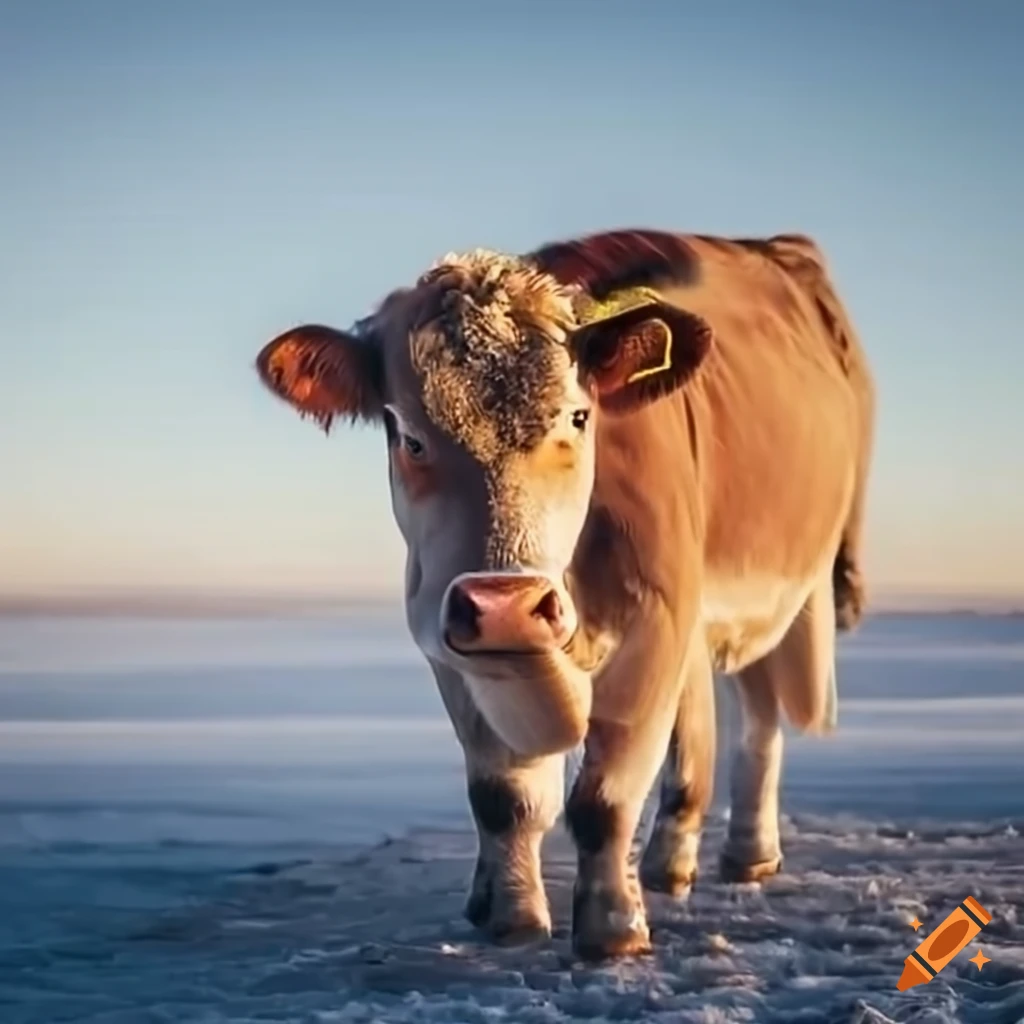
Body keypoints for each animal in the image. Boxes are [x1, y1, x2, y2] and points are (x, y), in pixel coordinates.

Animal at [254, 229, 875, 961]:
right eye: (407, 435)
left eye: (578, 416)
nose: (508, 607)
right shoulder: (446, 637)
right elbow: (505, 798)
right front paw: (514, 918)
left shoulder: (656, 618)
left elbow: (603, 798)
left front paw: (613, 929)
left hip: (777, 592)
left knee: (758, 713)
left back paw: (748, 856)